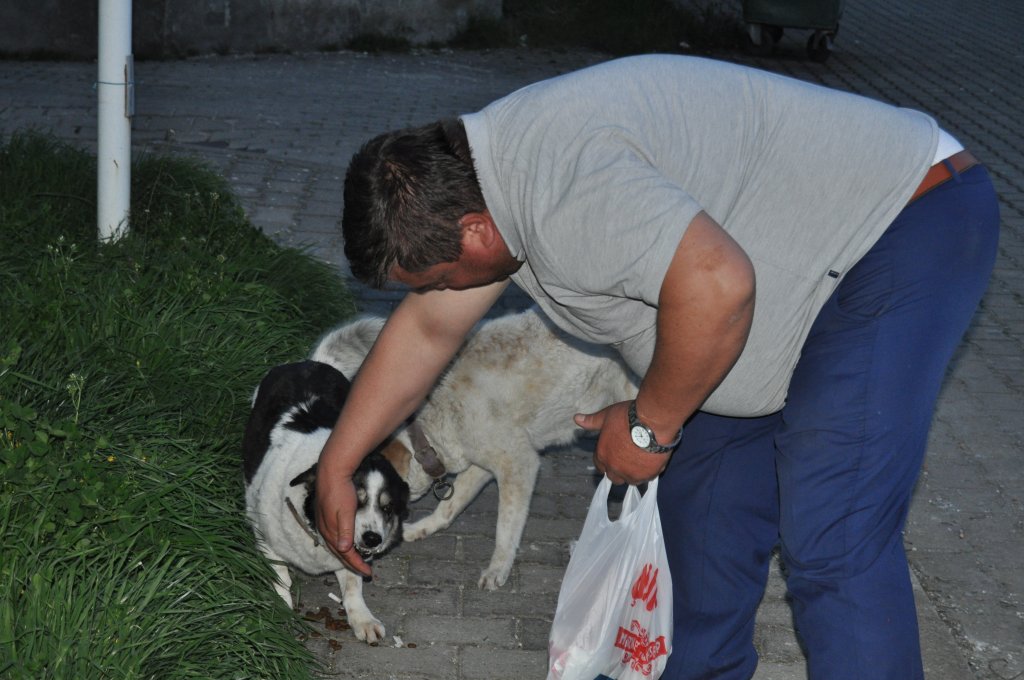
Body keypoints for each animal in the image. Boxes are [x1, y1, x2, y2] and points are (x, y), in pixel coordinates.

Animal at [241, 360, 409, 643]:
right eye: (354, 502)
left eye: (387, 508)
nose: (372, 539)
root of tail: (308, 363)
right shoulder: (266, 539)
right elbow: (280, 578)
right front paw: (283, 613)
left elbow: (352, 585)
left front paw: (362, 618)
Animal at [311, 307, 634, 589]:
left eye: (383, 503)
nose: (367, 540)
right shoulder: (481, 464)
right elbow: (449, 506)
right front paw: (422, 528)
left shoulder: (519, 465)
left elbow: (505, 528)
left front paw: (498, 568)